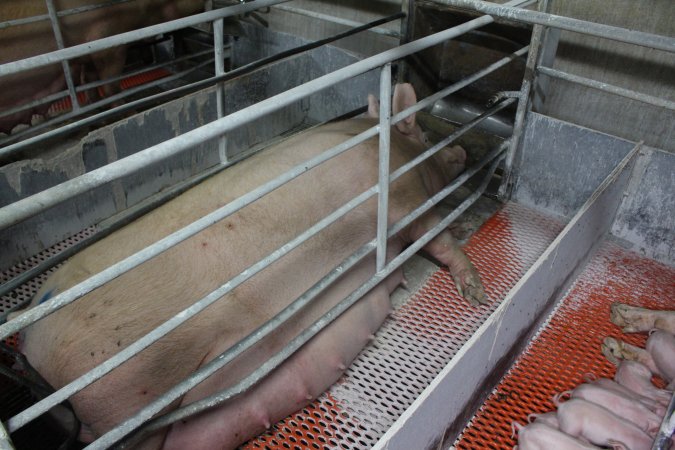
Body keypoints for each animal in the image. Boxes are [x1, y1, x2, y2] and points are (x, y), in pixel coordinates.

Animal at [10, 83, 486, 446]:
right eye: (426, 135)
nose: (465, 150)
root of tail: (34, 353)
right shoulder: (407, 202)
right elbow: (440, 239)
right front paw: (476, 295)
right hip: (128, 398)